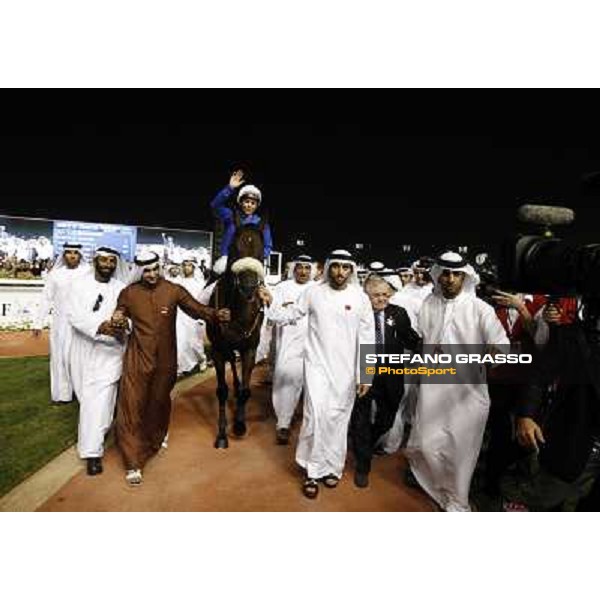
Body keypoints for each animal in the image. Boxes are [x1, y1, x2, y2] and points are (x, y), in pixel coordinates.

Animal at [206, 223, 268, 448]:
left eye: (261, 250)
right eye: (234, 247)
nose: (249, 287)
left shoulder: (250, 348)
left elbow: (246, 391)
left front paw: (240, 424)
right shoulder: (217, 349)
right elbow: (221, 390)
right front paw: (222, 434)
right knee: (231, 361)